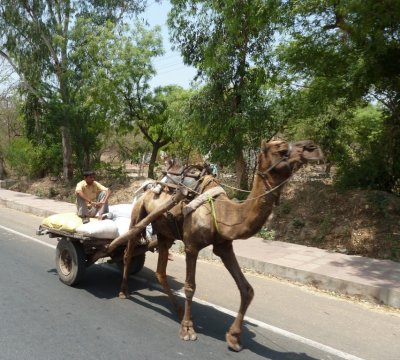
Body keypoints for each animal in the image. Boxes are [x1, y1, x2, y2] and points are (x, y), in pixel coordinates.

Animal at [118, 139, 322, 352]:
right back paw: (124, 291)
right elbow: (190, 287)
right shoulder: (192, 246)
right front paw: (187, 330)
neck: (222, 211)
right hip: (138, 213)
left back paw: (178, 309)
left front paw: (234, 338)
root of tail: (151, 184)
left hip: (165, 233)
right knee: (128, 250)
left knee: (160, 272)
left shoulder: (224, 246)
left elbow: (247, 289)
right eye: (281, 149)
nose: (313, 148)